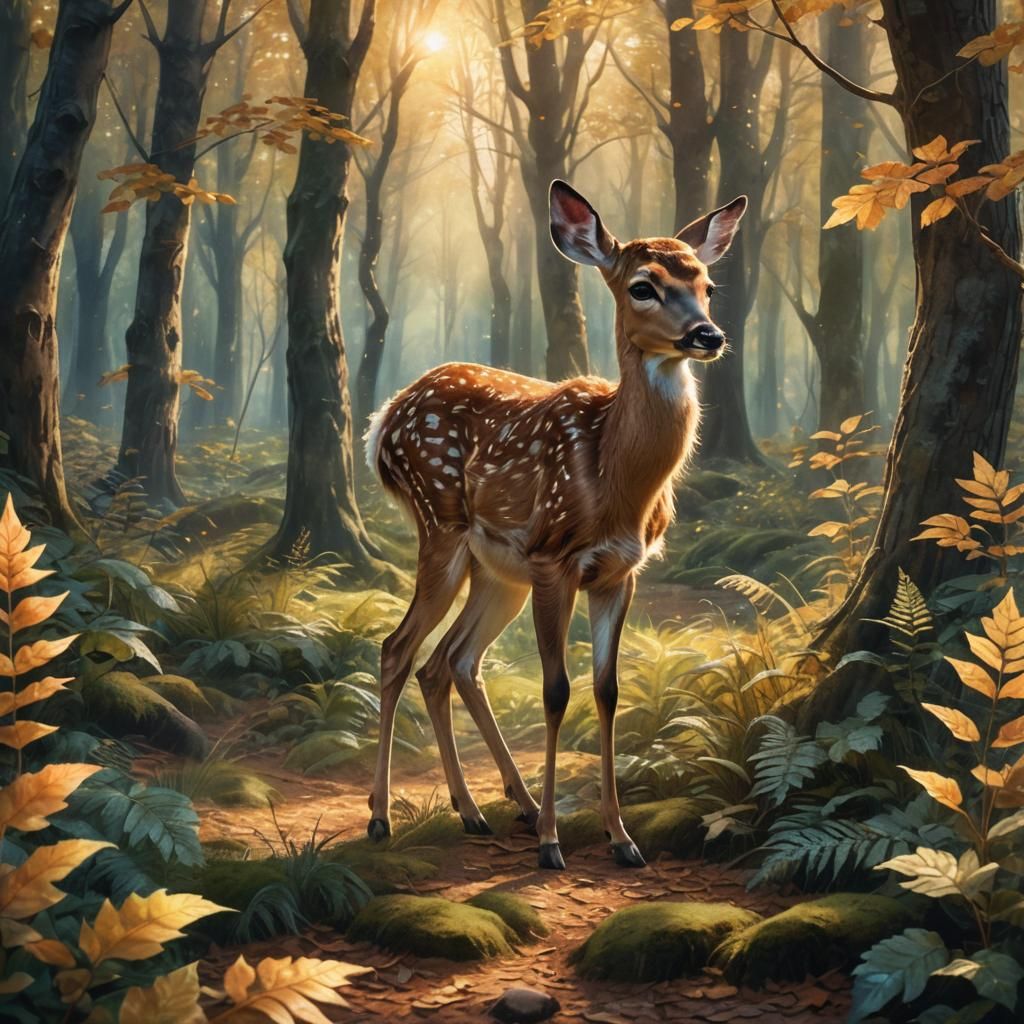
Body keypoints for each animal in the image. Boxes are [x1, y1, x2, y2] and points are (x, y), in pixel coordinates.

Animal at [364, 180, 746, 870]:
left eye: (707, 283)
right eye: (643, 285)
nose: (708, 334)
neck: (614, 476)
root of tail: (383, 421)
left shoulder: (619, 572)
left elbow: (607, 690)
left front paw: (621, 838)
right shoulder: (553, 559)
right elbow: (556, 690)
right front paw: (551, 843)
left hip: (496, 572)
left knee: (450, 662)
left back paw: (482, 809)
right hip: (442, 527)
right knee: (398, 649)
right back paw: (382, 817)